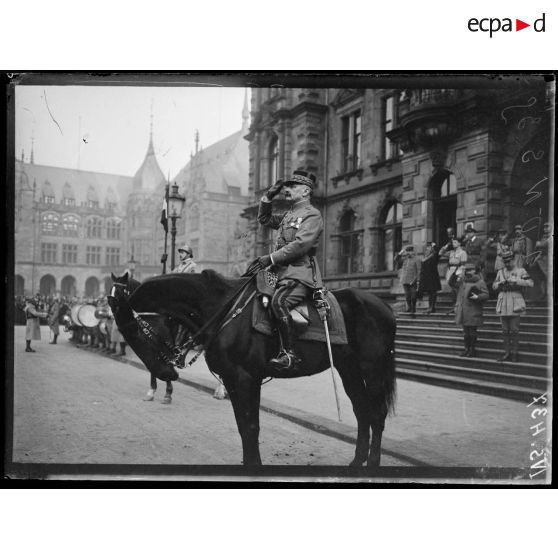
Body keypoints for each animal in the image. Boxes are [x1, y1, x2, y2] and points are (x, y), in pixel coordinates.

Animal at [110, 274, 177, 404]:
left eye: (120, 292)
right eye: (111, 290)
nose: (111, 315)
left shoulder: (161, 346)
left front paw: (168, 393)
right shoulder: (149, 346)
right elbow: (152, 366)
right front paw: (151, 392)